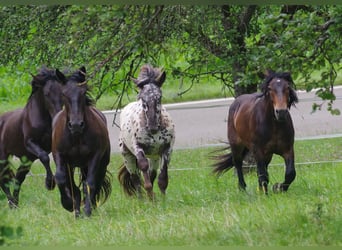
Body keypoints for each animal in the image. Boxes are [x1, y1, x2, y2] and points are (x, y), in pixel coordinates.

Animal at [0, 67, 66, 208]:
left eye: (62, 93)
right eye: (46, 94)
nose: (57, 115)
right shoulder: (30, 143)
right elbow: (44, 157)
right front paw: (50, 183)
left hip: (26, 160)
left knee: (18, 178)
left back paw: (15, 205)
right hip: (3, 158)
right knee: (4, 180)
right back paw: (12, 204)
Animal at [51, 66, 111, 217]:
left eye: (83, 93)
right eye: (64, 94)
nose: (76, 125)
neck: (77, 137)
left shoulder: (95, 157)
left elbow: (90, 183)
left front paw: (88, 211)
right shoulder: (60, 156)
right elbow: (61, 179)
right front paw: (68, 205)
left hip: (101, 164)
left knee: (94, 182)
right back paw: (77, 211)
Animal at [118, 64, 176, 199]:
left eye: (159, 97)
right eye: (142, 99)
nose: (152, 126)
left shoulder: (167, 149)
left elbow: (162, 178)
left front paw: (163, 199)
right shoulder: (138, 147)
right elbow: (143, 167)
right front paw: (149, 193)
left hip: (154, 157)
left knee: (152, 174)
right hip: (127, 155)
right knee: (135, 178)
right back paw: (141, 199)